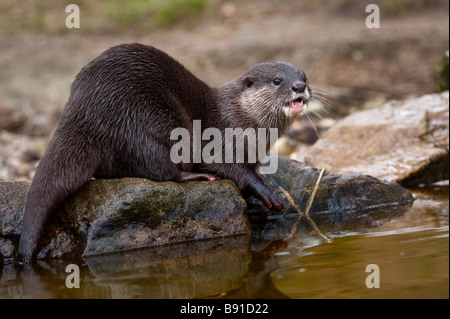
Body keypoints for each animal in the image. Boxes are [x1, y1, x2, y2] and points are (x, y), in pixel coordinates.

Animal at [18, 43, 312, 262]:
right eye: (277, 81)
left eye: (304, 76)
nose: (299, 87)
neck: (240, 119)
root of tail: (82, 113)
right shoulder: (218, 140)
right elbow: (232, 168)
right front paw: (266, 192)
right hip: (145, 121)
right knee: (161, 169)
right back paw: (194, 177)